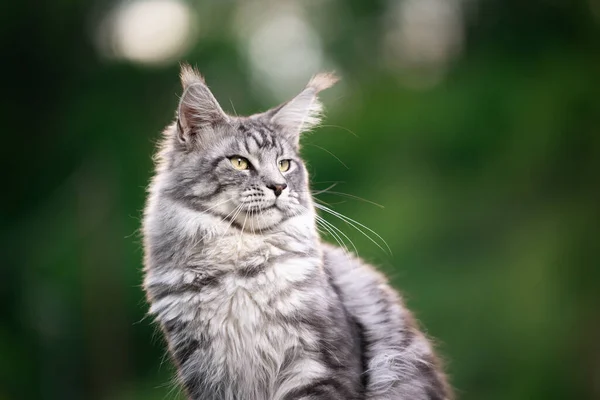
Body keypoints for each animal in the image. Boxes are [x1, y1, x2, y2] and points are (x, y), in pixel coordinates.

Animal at [143, 65, 452, 400]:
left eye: (284, 164)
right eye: (239, 162)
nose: (279, 187)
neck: (241, 264)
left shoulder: (318, 364)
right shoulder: (202, 367)